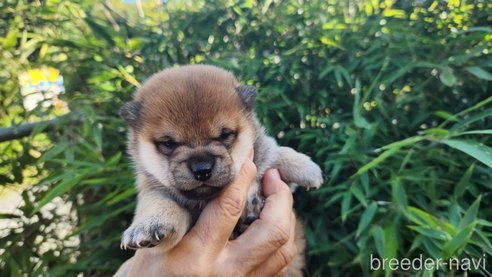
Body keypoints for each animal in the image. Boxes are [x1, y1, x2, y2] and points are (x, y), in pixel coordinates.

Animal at [119, 64, 322, 274]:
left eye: (225, 135)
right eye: (168, 143)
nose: (202, 168)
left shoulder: (262, 158)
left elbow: (274, 153)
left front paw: (307, 168)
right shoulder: (155, 191)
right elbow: (159, 203)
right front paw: (149, 225)